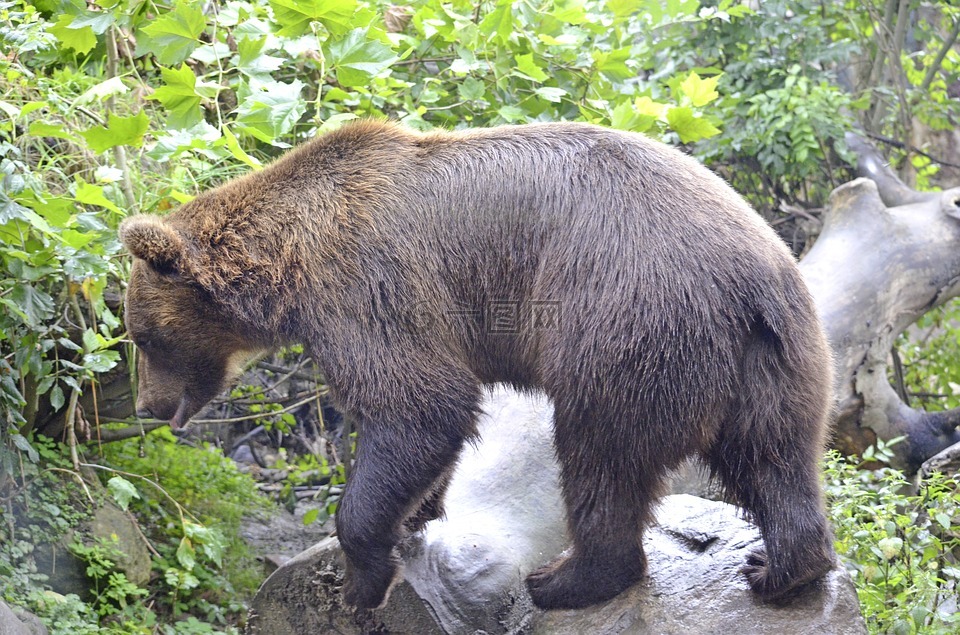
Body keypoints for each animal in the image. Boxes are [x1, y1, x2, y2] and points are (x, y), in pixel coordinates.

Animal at [120, 119, 836, 612]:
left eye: (142, 337)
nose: (148, 406)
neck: (289, 266)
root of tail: (750, 278)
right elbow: (428, 426)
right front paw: (416, 513)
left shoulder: (369, 290)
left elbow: (419, 406)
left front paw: (360, 583)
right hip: (776, 357)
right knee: (773, 455)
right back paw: (779, 569)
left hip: (625, 324)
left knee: (601, 453)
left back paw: (564, 580)